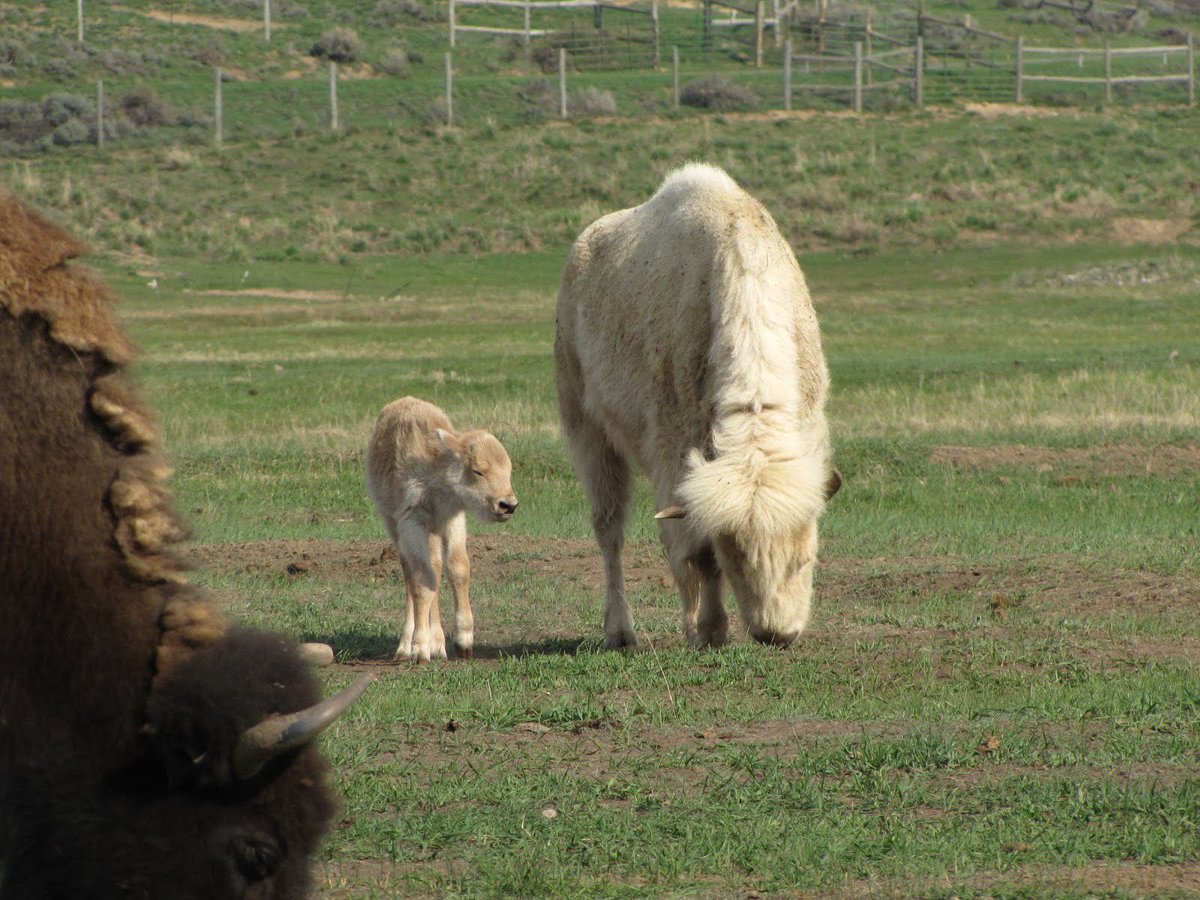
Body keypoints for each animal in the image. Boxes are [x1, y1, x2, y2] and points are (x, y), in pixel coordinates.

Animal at [365, 396, 518, 662]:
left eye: (508, 469)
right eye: (478, 470)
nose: (507, 505)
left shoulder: (452, 521)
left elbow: (458, 569)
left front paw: (464, 642)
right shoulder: (413, 523)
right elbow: (421, 581)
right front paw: (419, 649)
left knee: (436, 567)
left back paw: (438, 645)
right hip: (394, 525)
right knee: (411, 574)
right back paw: (406, 647)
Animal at [554, 163, 841, 651]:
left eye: (804, 557)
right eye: (736, 557)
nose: (777, 633)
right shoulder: (676, 453)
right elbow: (699, 553)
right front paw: (708, 629)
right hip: (589, 431)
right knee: (611, 531)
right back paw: (621, 631)